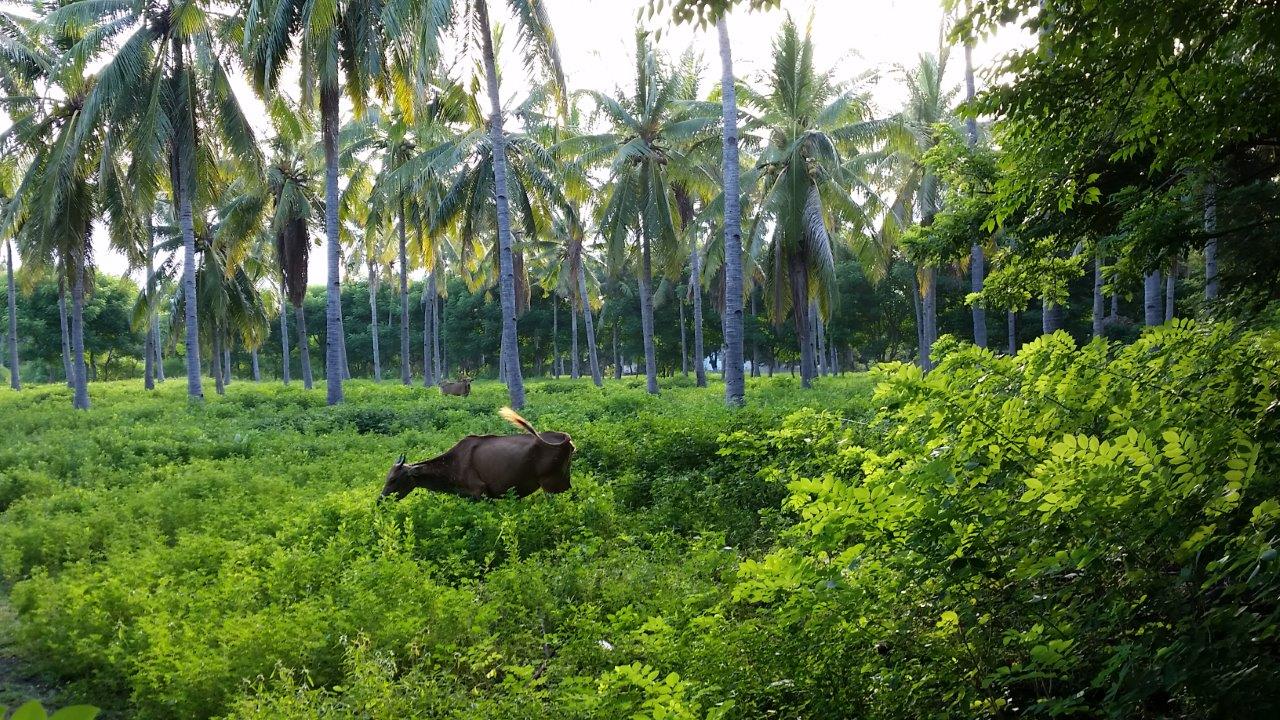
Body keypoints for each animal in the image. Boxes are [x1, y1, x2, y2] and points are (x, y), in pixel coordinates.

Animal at [380, 407, 575, 500]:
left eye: (393, 479)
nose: (380, 501)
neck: (454, 465)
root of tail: (567, 439)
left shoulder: (480, 492)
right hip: (564, 481)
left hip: (551, 484)